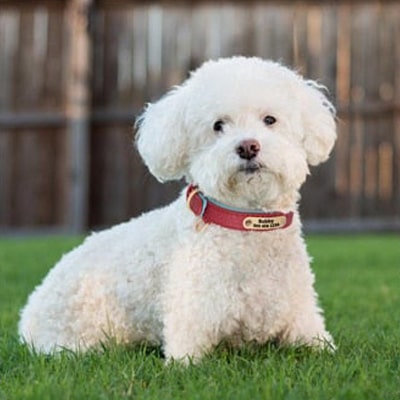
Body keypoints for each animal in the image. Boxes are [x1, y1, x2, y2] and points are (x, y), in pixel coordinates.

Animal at [19, 56, 338, 360]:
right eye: (218, 126)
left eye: (270, 119)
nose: (248, 147)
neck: (247, 221)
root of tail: (27, 315)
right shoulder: (189, 328)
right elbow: (184, 362)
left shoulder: (304, 321)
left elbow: (323, 348)